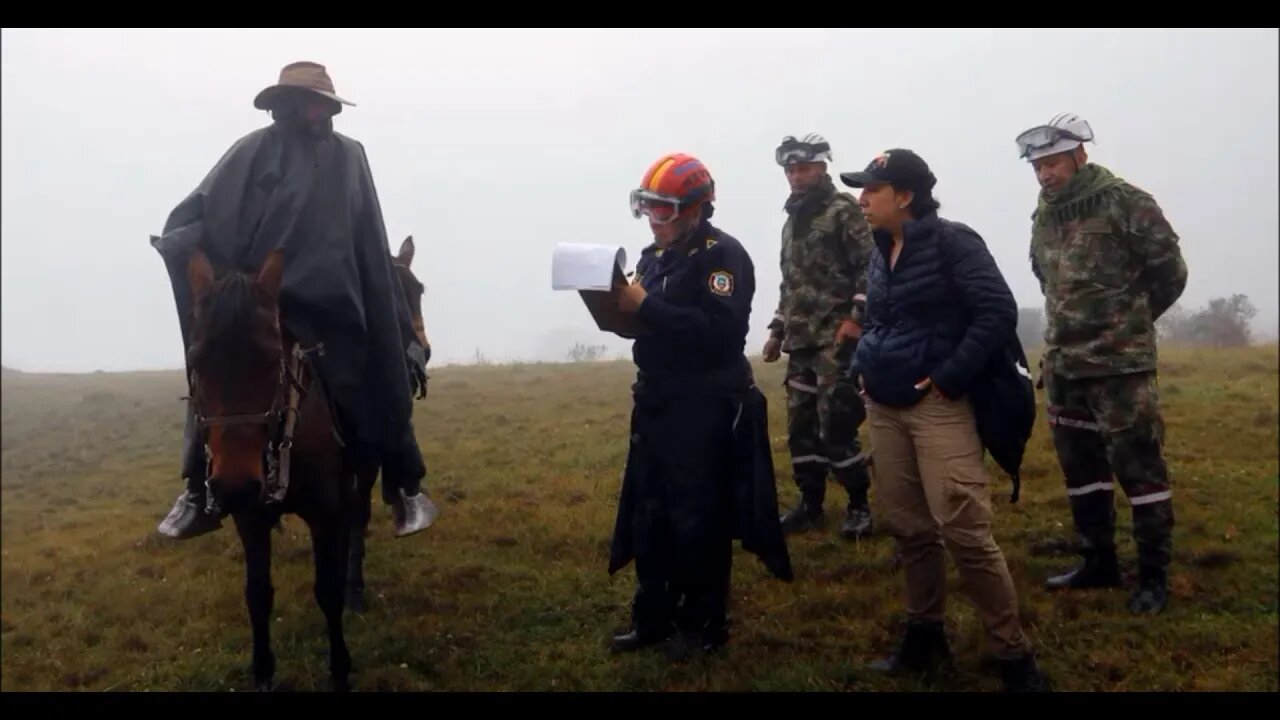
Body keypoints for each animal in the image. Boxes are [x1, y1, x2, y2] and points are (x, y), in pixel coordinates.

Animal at [185, 245, 355, 691]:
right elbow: (258, 594)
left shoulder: (325, 513)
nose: (234, 487)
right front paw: (262, 671)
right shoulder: (250, 519)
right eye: (196, 360)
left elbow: (328, 589)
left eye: (270, 358)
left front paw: (340, 668)